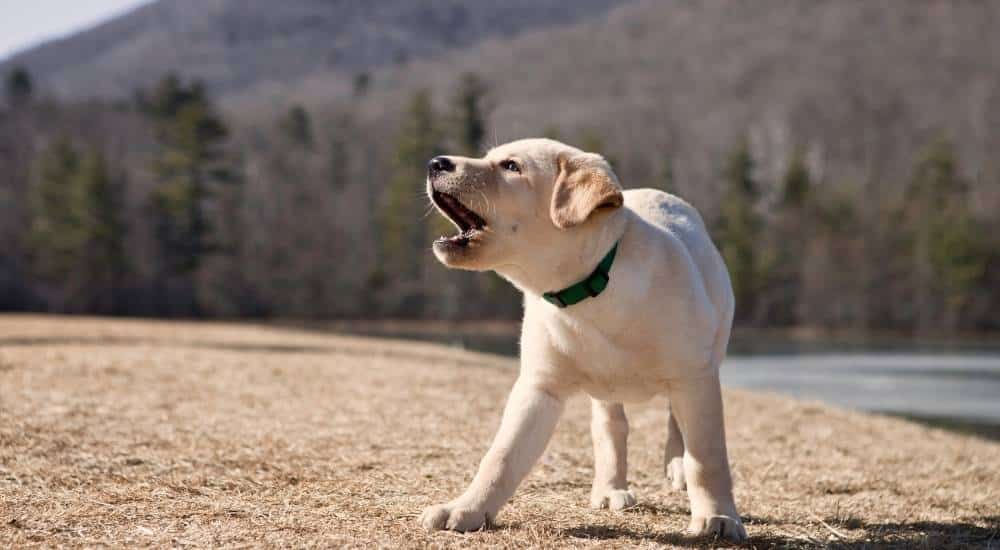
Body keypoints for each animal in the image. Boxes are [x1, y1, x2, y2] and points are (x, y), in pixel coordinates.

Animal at [418, 139, 748, 544]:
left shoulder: (694, 376)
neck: (589, 290)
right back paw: (610, 489)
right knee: (611, 430)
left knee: (676, 422)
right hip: (607, 392)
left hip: (707, 355)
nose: (435, 162)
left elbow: (706, 455)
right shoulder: (539, 387)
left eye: (511, 166)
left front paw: (718, 517)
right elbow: (501, 456)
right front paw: (466, 509)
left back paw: (676, 466)